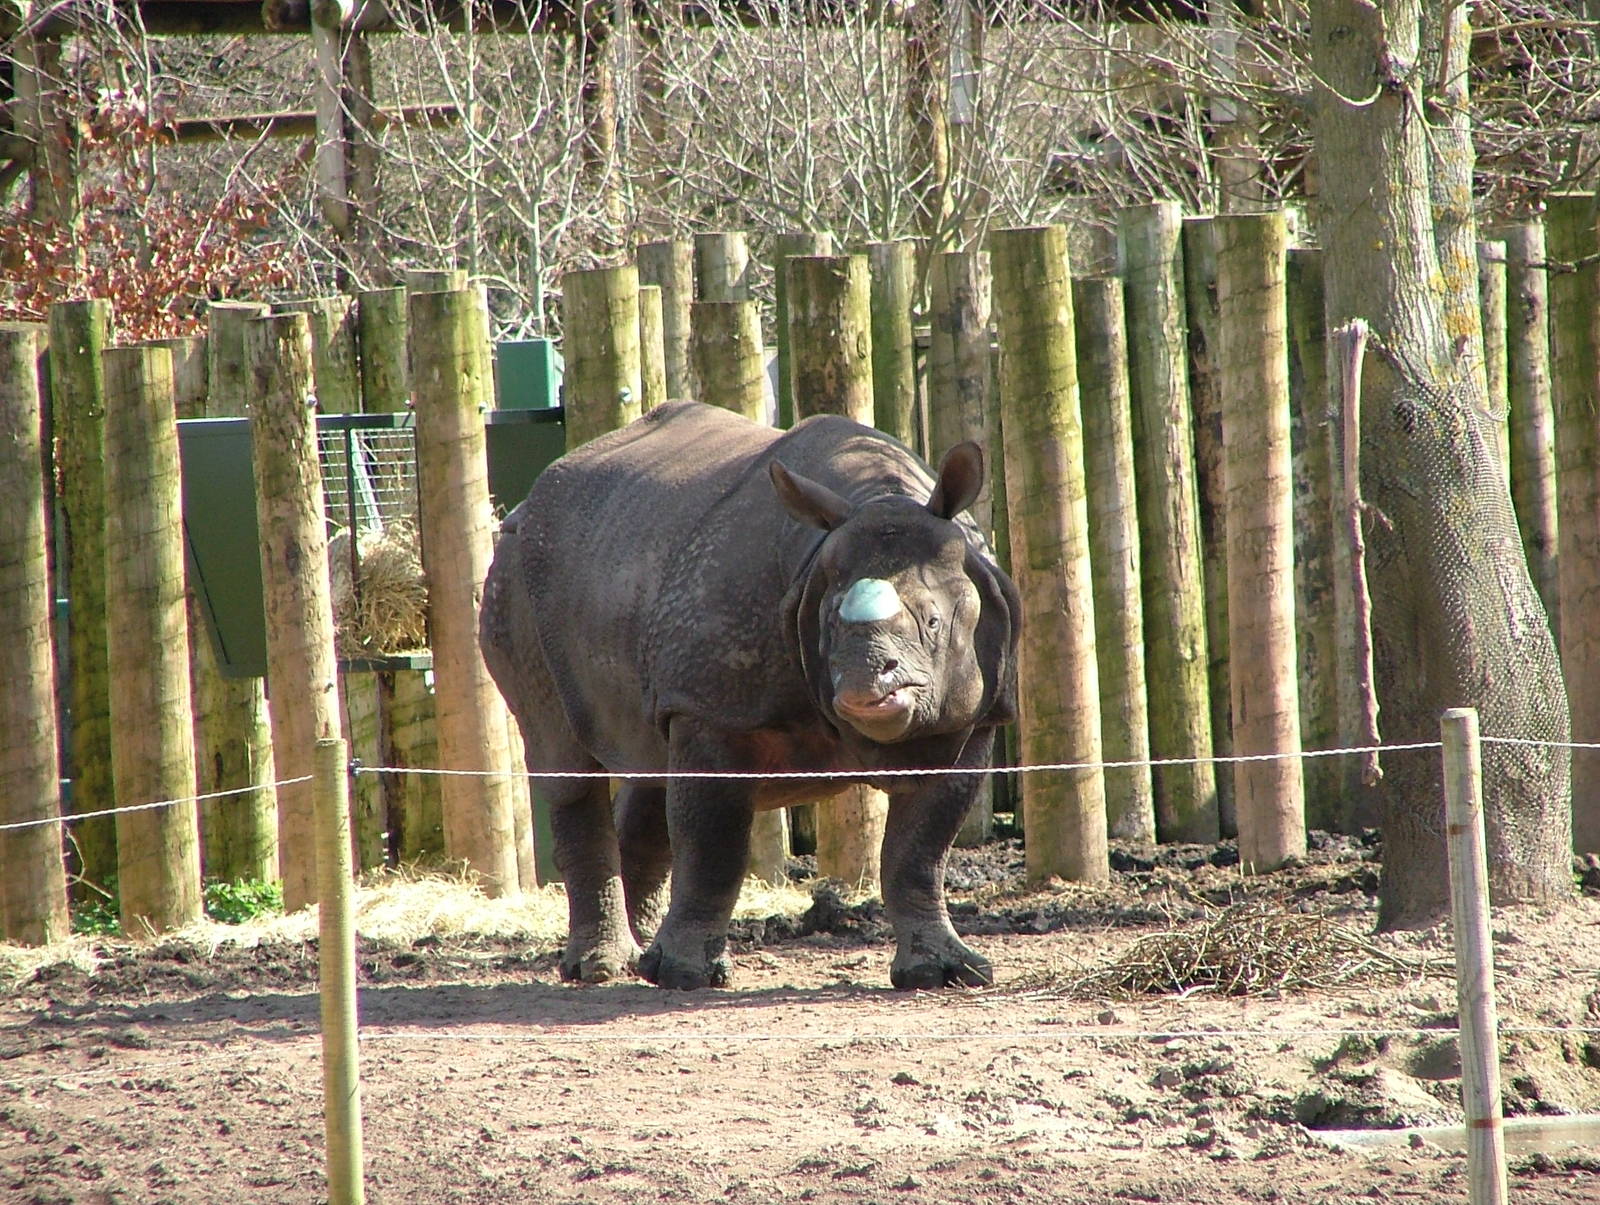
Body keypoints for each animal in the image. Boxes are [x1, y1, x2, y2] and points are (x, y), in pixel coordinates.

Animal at [480, 399, 1020, 990]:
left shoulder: (972, 716)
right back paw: (601, 968)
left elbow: (920, 850)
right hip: (513, 575)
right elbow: (712, 841)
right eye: (828, 624)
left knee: (649, 764)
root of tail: (526, 502)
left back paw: (634, 957)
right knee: (567, 764)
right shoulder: (710, 706)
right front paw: (684, 975)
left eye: (933, 622)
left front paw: (943, 971)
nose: (863, 685)